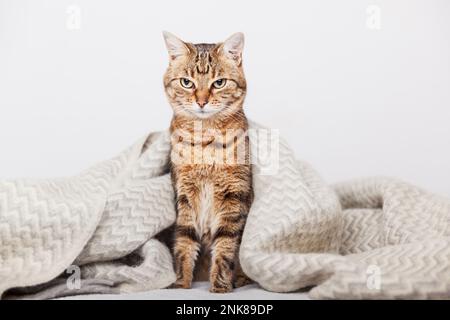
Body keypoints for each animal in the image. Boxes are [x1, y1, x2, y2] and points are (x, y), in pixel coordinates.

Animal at [163, 31, 253, 292]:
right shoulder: (184, 193)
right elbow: (184, 240)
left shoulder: (235, 193)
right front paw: (181, 282)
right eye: (187, 82)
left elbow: (226, 246)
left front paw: (220, 285)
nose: (201, 101)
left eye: (219, 83)